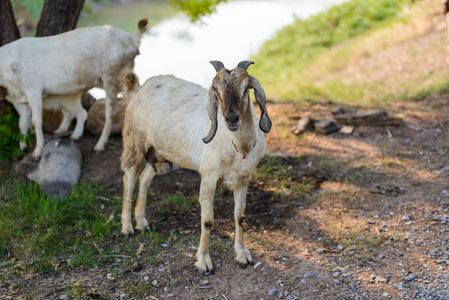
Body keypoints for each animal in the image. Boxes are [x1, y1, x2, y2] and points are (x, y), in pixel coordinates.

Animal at [0, 18, 148, 159]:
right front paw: (22, 148)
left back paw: (100, 145)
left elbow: (36, 121)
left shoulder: (33, 89)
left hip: (112, 77)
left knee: (111, 113)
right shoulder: (18, 97)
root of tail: (132, 38)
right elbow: (22, 123)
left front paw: (37, 152)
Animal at [120, 59, 270, 274]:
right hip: (134, 142)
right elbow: (207, 222)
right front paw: (204, 262)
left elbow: (240, 217)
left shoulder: (243, 179)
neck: (238, 147)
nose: (231, 119)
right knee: (130, 177)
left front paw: (243, 256)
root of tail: (137, 89)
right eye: (217, 91)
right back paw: (127, 228)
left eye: (245, 89)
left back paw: (142, 223)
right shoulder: (208, 177)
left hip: (160, 152)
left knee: (145, 178)